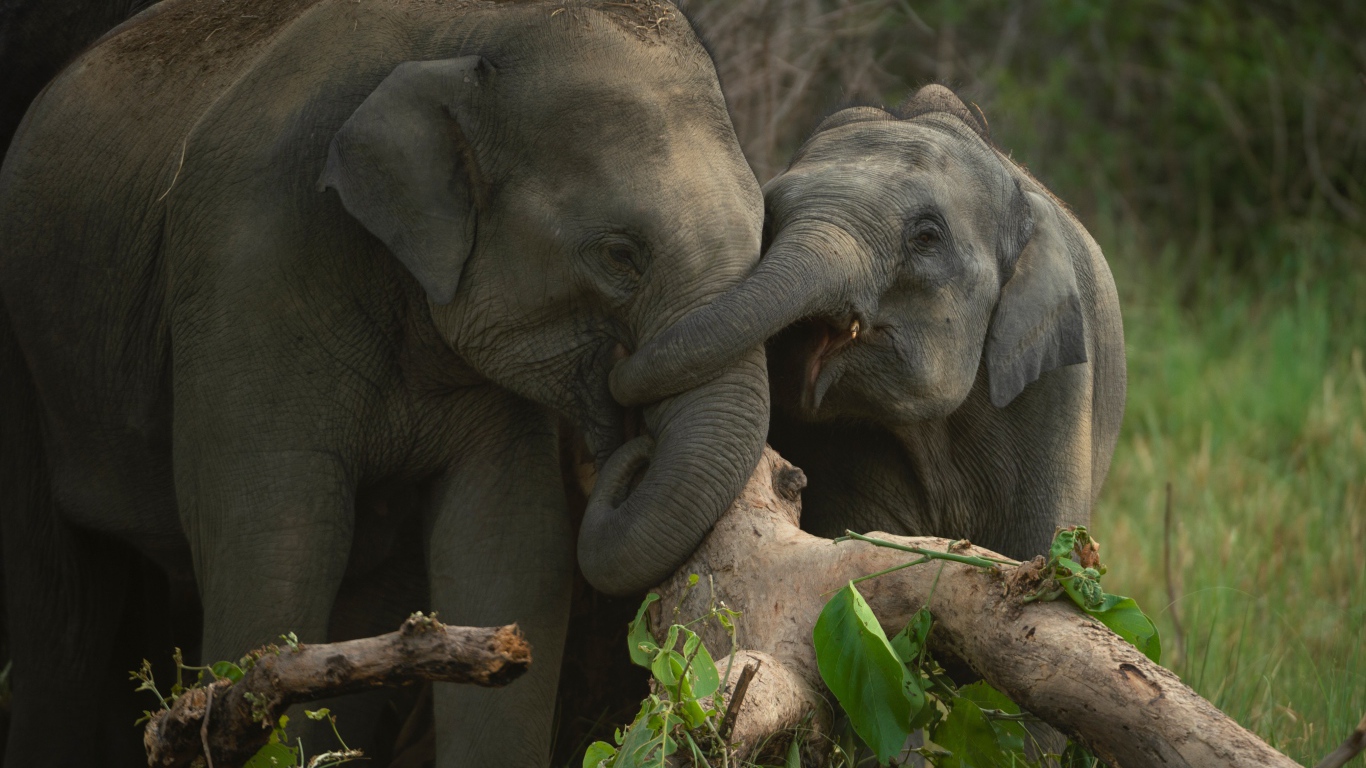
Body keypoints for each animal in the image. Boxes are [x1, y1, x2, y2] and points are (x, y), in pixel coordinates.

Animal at [0, 0, 770, 759]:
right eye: (619, 255)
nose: (631, 446)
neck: (467, 32)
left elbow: (509, 545)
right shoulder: (246, 270)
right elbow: (273, 547)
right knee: (59, 621)